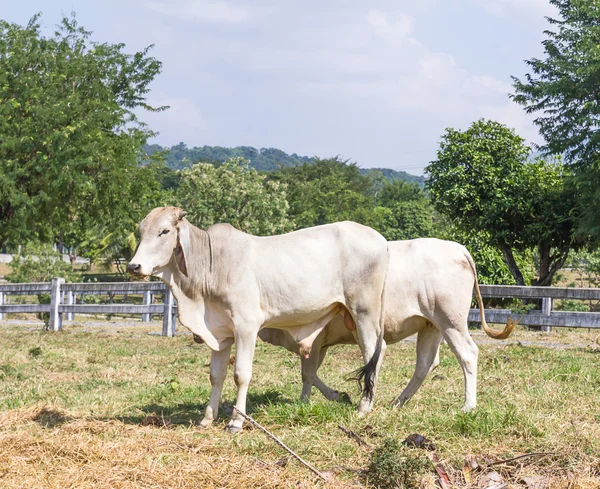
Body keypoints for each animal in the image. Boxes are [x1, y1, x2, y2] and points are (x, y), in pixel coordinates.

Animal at [127, 206, 390, 430]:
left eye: (164, 231)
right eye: (141, 231)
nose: (133, 266)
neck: (212, 264)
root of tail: (381, 240)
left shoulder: (246, 327)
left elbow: (241, 374)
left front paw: (236, 421)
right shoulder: (220, 333)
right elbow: (216, 376)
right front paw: (207, 418)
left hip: (364, 311)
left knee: (372, 353)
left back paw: (364, 407)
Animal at [258, 238, 516, 410]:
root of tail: (459, 248)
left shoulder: (316, 338)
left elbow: (308, 373)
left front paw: (327, 397)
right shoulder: (321, 344)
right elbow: (308, 373)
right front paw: (308, 400)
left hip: (451, 320)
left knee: (468, 354)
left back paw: (468, 406)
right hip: (431, 325)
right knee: (426, 363)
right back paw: (399, 401)